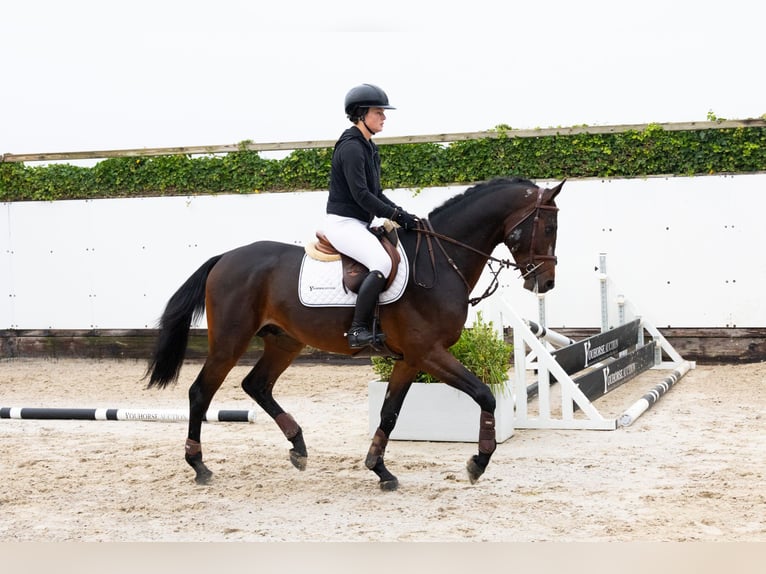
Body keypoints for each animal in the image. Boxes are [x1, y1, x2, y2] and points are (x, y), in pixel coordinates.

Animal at [145, 176, 563, 491]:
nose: (545, 283)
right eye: (548, 227)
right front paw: (478, 460)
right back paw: (199, 465)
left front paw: (380, 469)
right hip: (230, 342)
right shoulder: (429, 353)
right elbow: (483, 395)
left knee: (257, 385)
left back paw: (298, 446)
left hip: (285, 341)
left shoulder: (411, 359)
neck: (442, 261)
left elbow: (390, 413)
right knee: (200, 393)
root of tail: (225, 258)